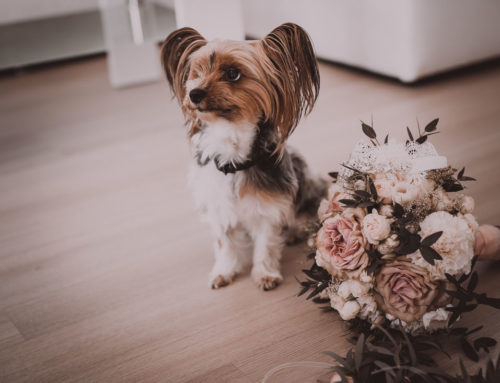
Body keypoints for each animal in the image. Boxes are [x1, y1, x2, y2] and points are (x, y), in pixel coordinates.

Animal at [161, 22, 328, 290]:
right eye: (196, 73)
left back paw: (295, 232)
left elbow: (266, 245)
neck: (232, 158)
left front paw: (265, 275)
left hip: (310, 189)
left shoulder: (268, 209)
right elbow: (225, 245)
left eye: (233, 73)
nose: (194, 93)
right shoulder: (219, 207)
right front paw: (223, 272)